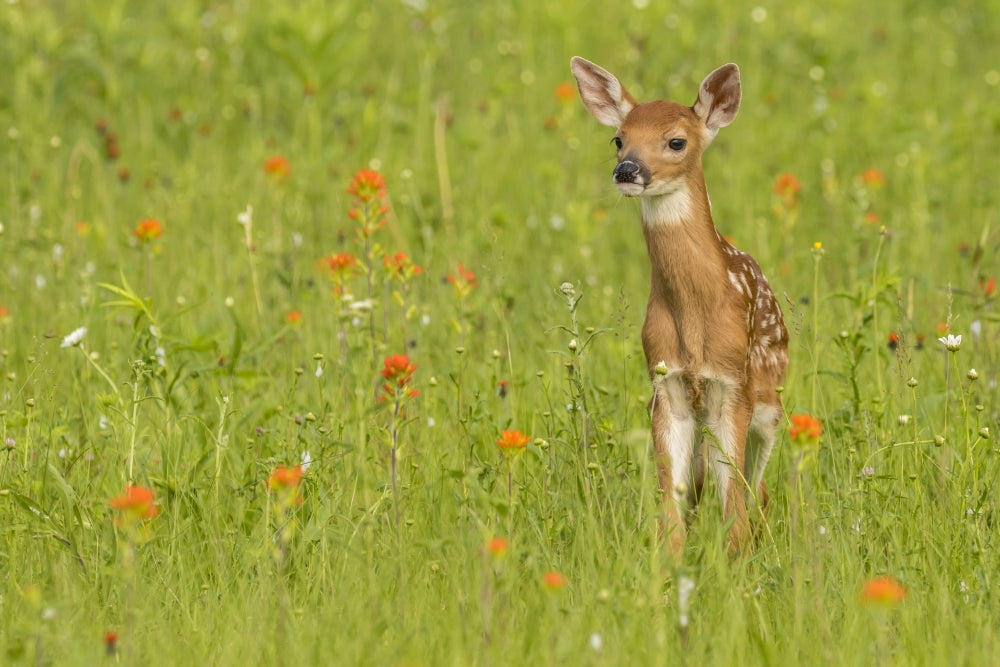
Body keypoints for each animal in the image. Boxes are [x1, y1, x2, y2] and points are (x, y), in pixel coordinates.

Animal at [570, 57, 788, 555]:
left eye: (676, 141)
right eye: (618, 139)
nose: (627, 170)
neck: (695, 315)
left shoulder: (732, 383)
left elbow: (733, 494)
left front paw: (735, 558)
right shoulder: (665, 382)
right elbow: (671, 488)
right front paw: (668, 557)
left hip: (770, 404)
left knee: (758, 487)